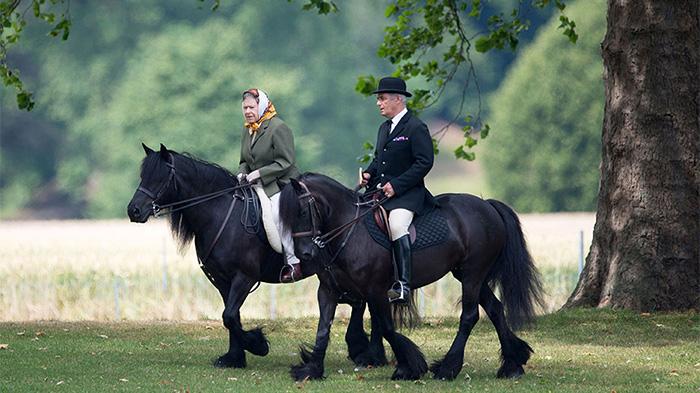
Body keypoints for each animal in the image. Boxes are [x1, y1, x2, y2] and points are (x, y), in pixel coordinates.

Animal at [126, 144, 388, 368]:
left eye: (159, 177)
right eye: (143, 175)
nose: (133, 210)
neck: (221, 214)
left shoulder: (244, 277)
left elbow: (230, 316)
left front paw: (257, 345)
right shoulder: (223, 280)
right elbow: (231, 316)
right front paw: (234, 357)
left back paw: (369, 353)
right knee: (361, 304)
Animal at [280, 172, 548, 380]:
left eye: (302, 211)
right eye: (285, 218)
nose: (305, 254)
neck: (349, 231)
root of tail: (488, 206)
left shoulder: (376, 291)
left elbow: (387, 327)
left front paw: (408, 367)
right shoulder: (328, 290)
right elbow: (323, 328)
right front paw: (311, 369)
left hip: (473, 274)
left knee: (469, 316)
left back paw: (448, 368)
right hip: (468, 275)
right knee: (495, 309)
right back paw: (513, 364)